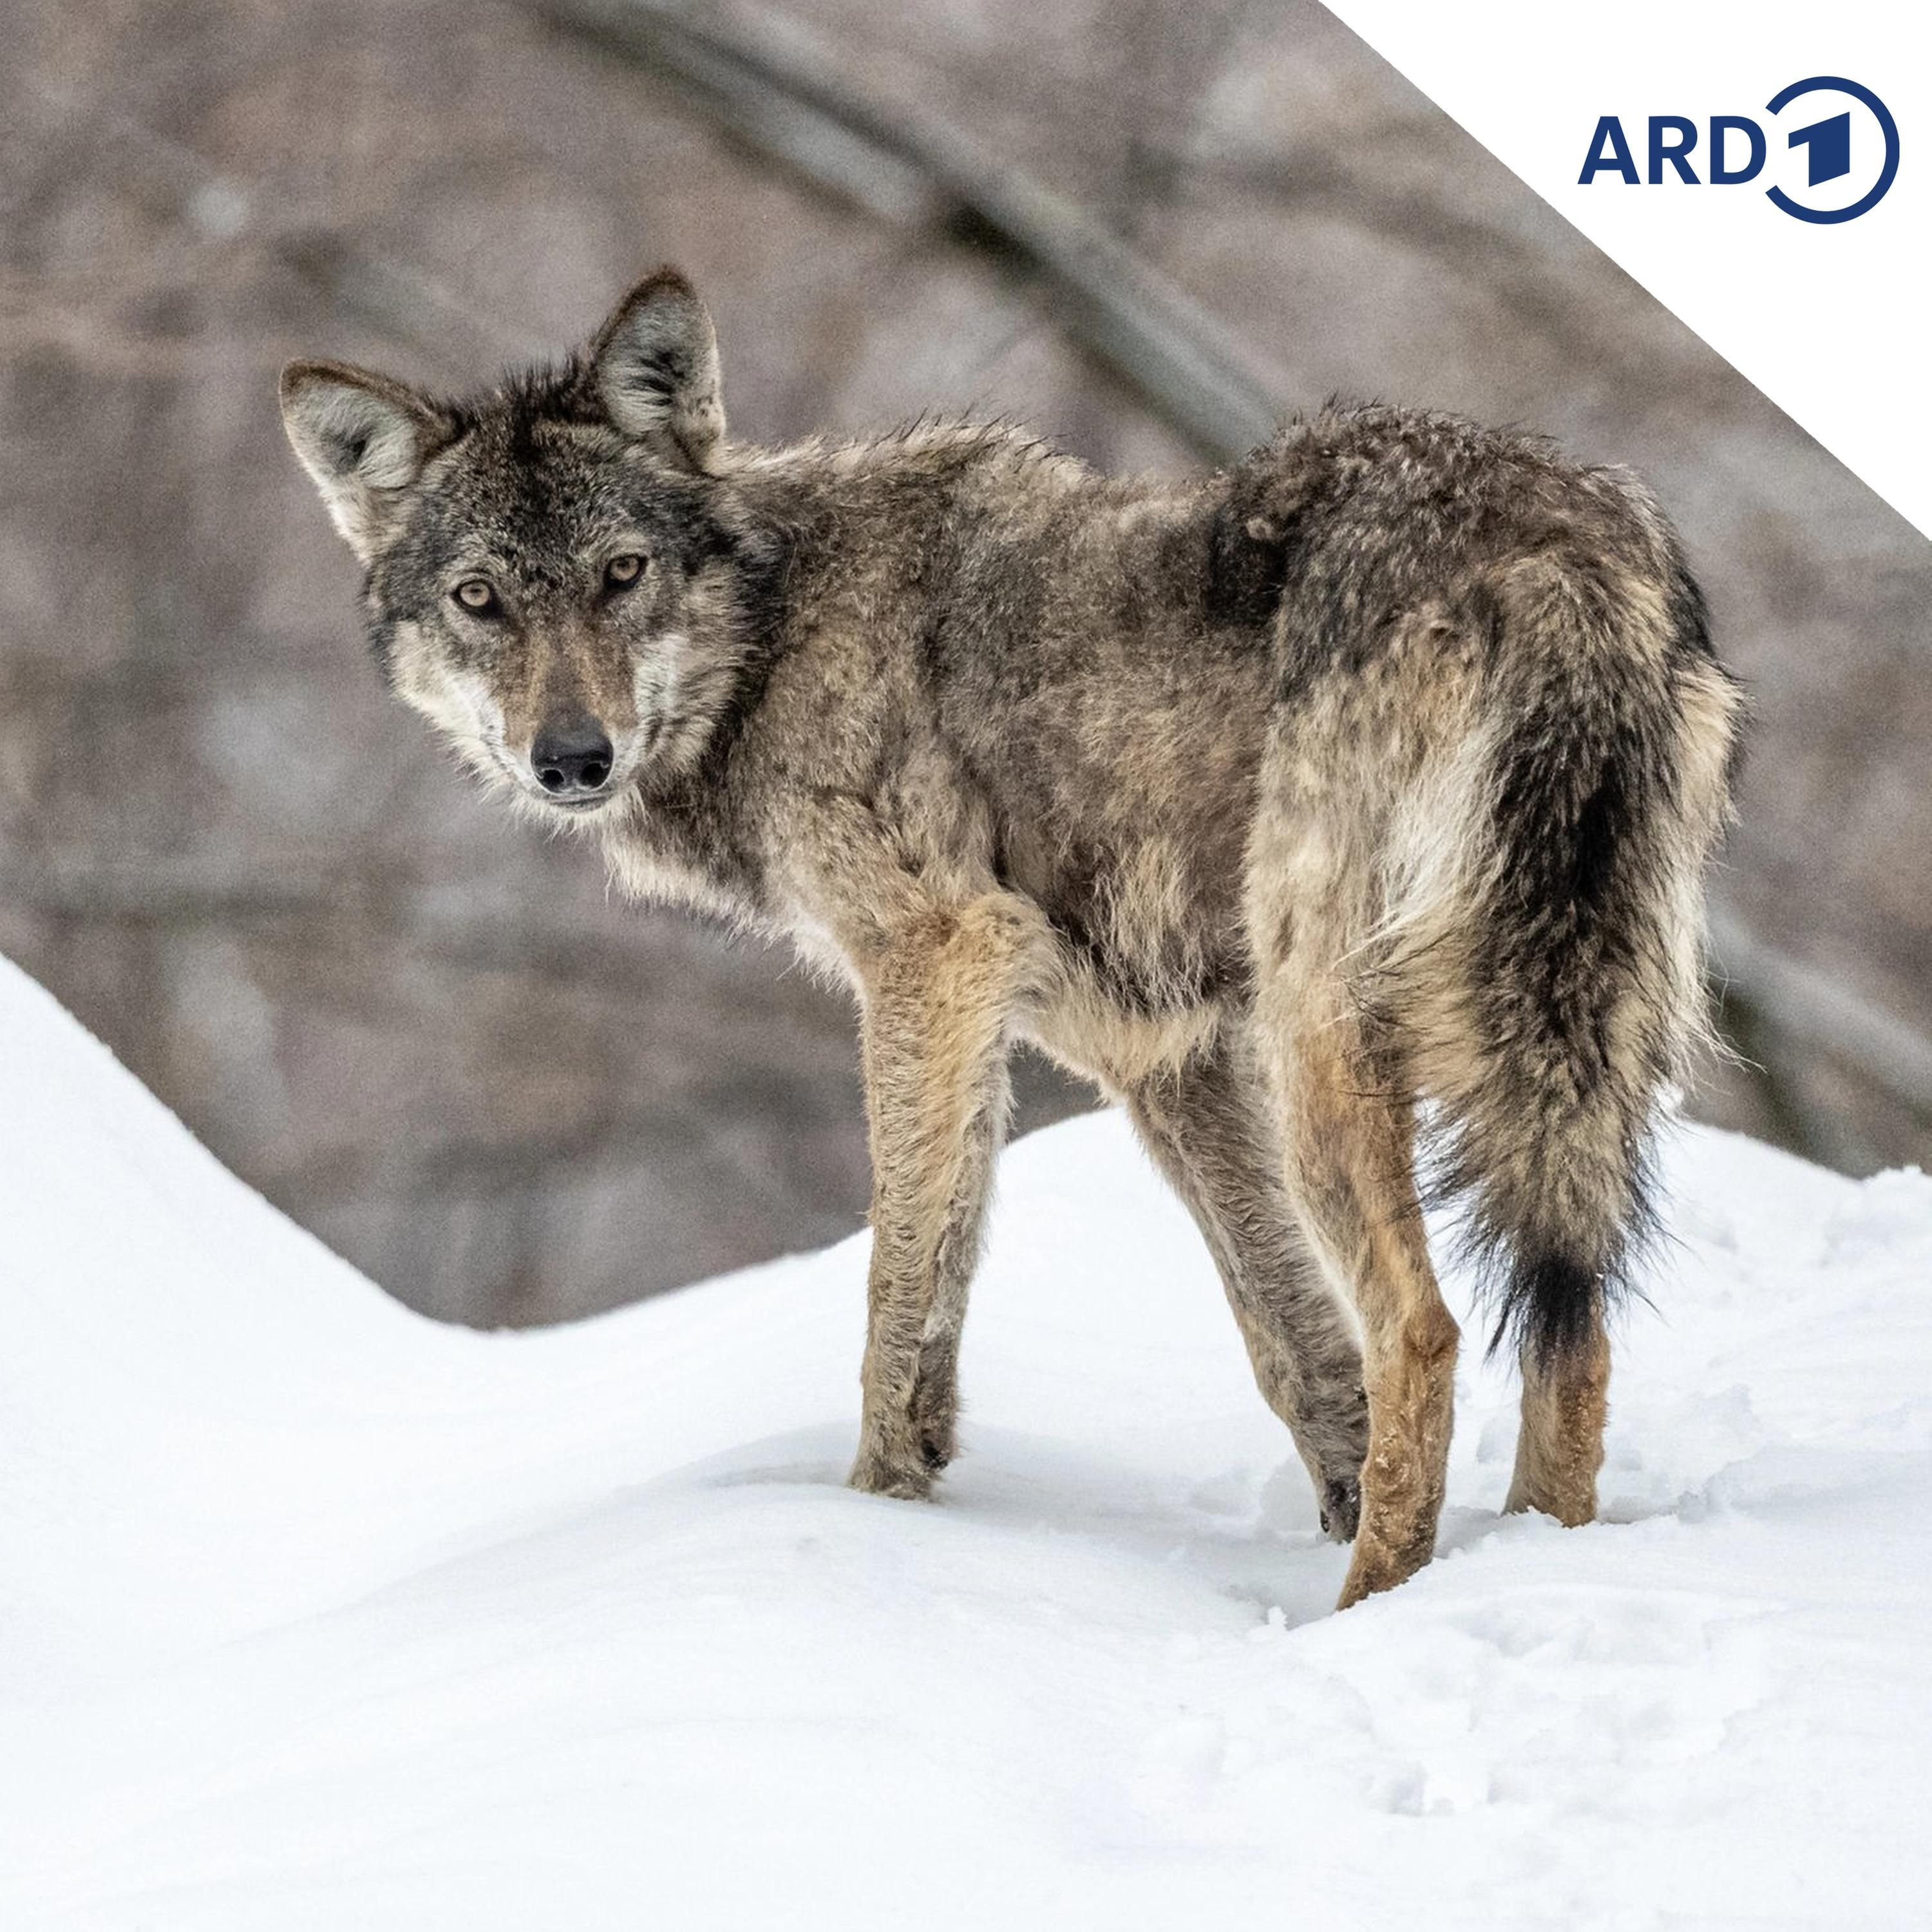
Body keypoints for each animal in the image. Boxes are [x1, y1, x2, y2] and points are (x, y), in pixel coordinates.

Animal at [280, 269, 1742, 1609]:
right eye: (480, 599)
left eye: (620, 574)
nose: (571, 758)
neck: (774, 638)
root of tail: (1557, 550)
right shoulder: (1152, 1055)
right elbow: (1284, 1341)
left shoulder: (933, 957)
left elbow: (899, 1288)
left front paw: (872, 1519)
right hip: (1564, 1049)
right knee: (1570, 1329)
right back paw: (1526, 1567)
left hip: (1328, 1037)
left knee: (1428, 1329)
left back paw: (1373, 1610)